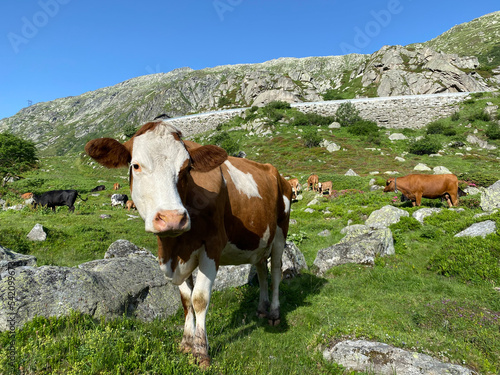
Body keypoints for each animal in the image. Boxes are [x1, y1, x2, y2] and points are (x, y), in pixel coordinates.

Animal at [84, 121, 292, 370]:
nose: (173, 218)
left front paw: (201, 351)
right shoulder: (175, 255)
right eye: (136, 165)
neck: (175, 246)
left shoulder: (212, 246)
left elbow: (199, 299)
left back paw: (274, 313)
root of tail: (276, 172)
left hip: (280, 231)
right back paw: (261, 309)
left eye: (186, 169)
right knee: (261, 270)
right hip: (260, 241)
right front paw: (186, 343)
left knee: (276, 272)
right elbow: (185, 299)